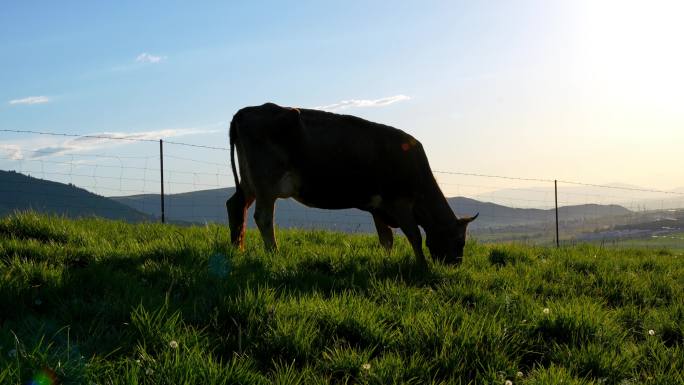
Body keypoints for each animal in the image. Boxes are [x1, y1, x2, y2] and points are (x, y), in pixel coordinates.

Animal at [224, 102, 476, 266]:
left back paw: (237, 249)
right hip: (266, 183)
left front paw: (387, 262)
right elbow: (414, 235)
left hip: (249, 182)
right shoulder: (400, 203)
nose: (455, 265)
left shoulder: (378, 208)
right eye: (460, 241)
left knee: (236, 205)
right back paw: (274, 254)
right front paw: (422, 267)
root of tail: (244, 112)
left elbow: (387, 240)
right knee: (263, 218)